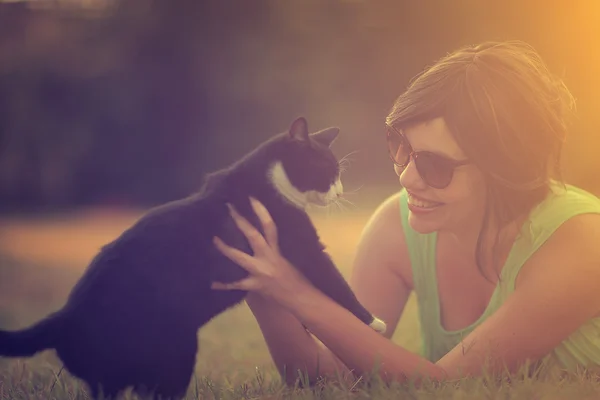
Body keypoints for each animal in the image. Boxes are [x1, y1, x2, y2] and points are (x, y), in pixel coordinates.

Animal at [0, 117, 384, 398]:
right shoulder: (302, 243)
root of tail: (64, 317)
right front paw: (372, 322)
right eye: (329, 172)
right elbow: (333, 281)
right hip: (175, 352)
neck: (267, 179)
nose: (340, 192)